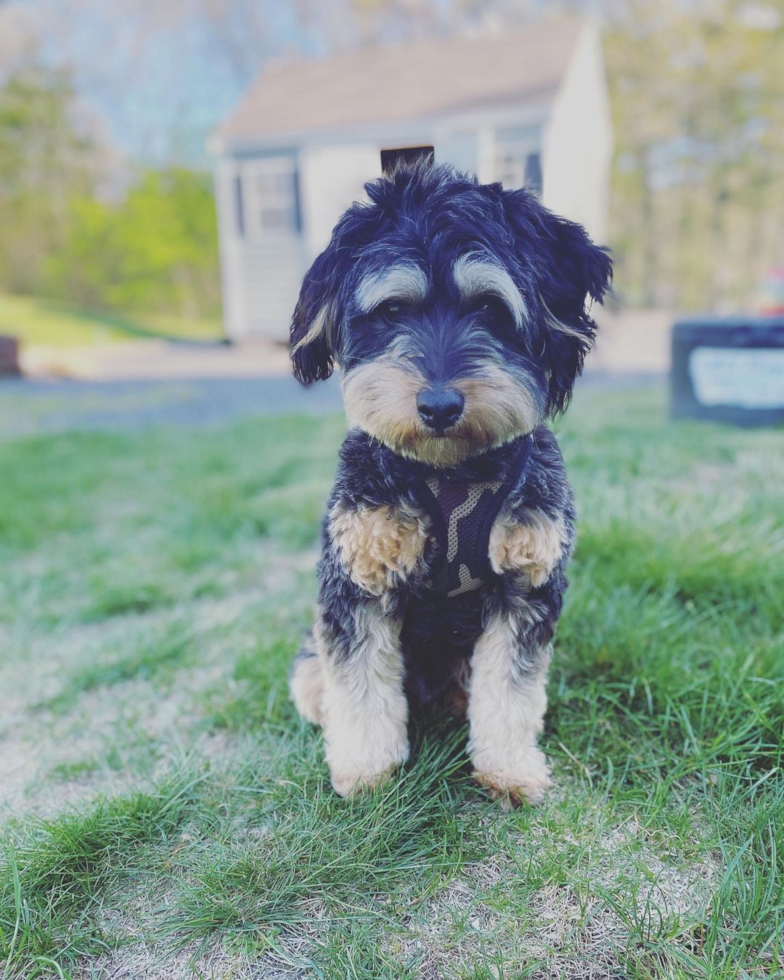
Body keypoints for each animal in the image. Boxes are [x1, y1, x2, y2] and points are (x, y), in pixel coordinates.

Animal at [288, 161, 612, 804]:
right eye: (392, 311)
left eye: (489, 308)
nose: (439, 406)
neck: (449, 470)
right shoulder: (359, 580)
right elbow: (361, 685)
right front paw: (367, 770)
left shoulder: (526, 586)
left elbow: (511, 689)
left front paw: (508, 768)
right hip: (312, 656)